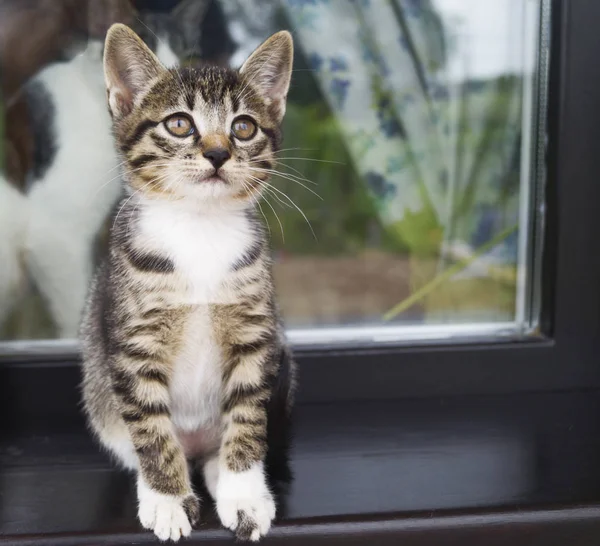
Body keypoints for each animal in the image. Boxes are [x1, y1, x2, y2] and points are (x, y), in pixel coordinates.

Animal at [79, 22, 296, 540]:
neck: (199, 229)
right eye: (180, 124)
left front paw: (243, 492)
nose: (217, 152)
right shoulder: (132, 344)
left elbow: (247, 418)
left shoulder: (256, 336)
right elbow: (151, 429)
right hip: (99, 393)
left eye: (243, 127)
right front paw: (166, 499)